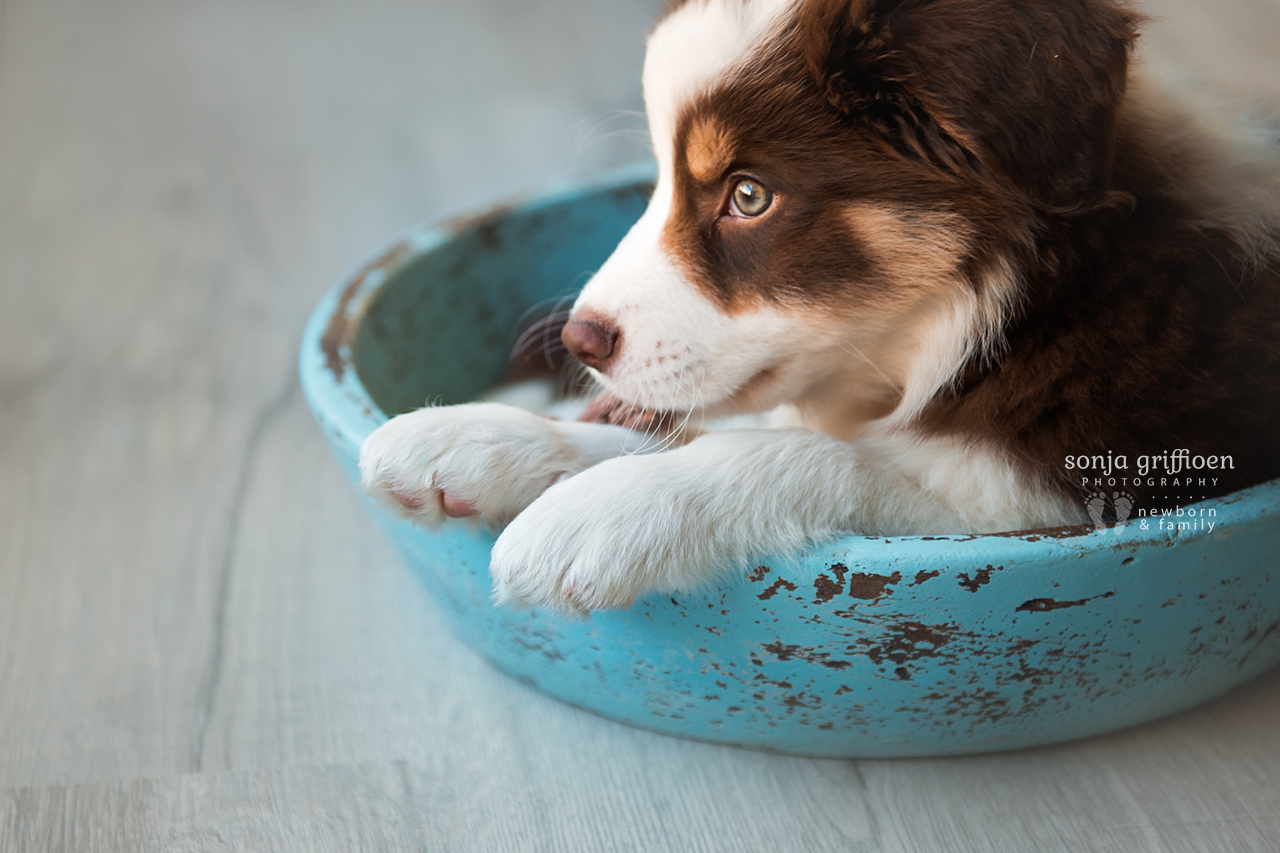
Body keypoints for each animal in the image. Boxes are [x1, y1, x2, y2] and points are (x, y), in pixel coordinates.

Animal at [355, 0, 1280, 612]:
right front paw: (479, 440)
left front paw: (607, 510)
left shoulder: (1057, 495)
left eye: (749, 196)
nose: (583, 341)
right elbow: (675, 427)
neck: (1024, 307)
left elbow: (815, 455)